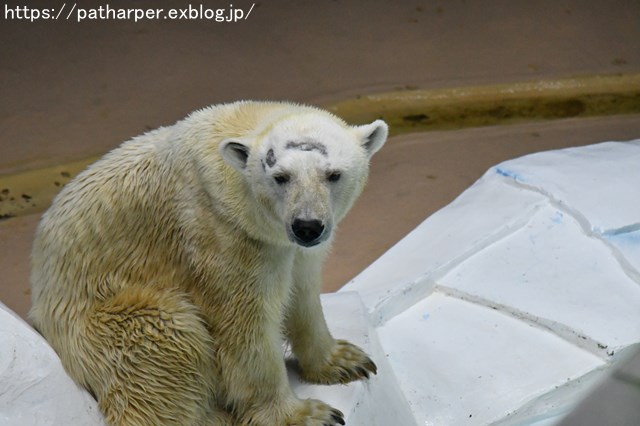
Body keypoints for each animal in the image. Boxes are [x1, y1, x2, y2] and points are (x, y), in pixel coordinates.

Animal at [28, 101, 390, 424]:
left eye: (333, 175)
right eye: (280, 177)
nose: (307, 226)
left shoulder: (289, 247)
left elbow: (303, 292)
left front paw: (345, 360)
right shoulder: (221, 235)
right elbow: (244, 326)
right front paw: (305, 415)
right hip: (97, 324)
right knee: (165, 340)